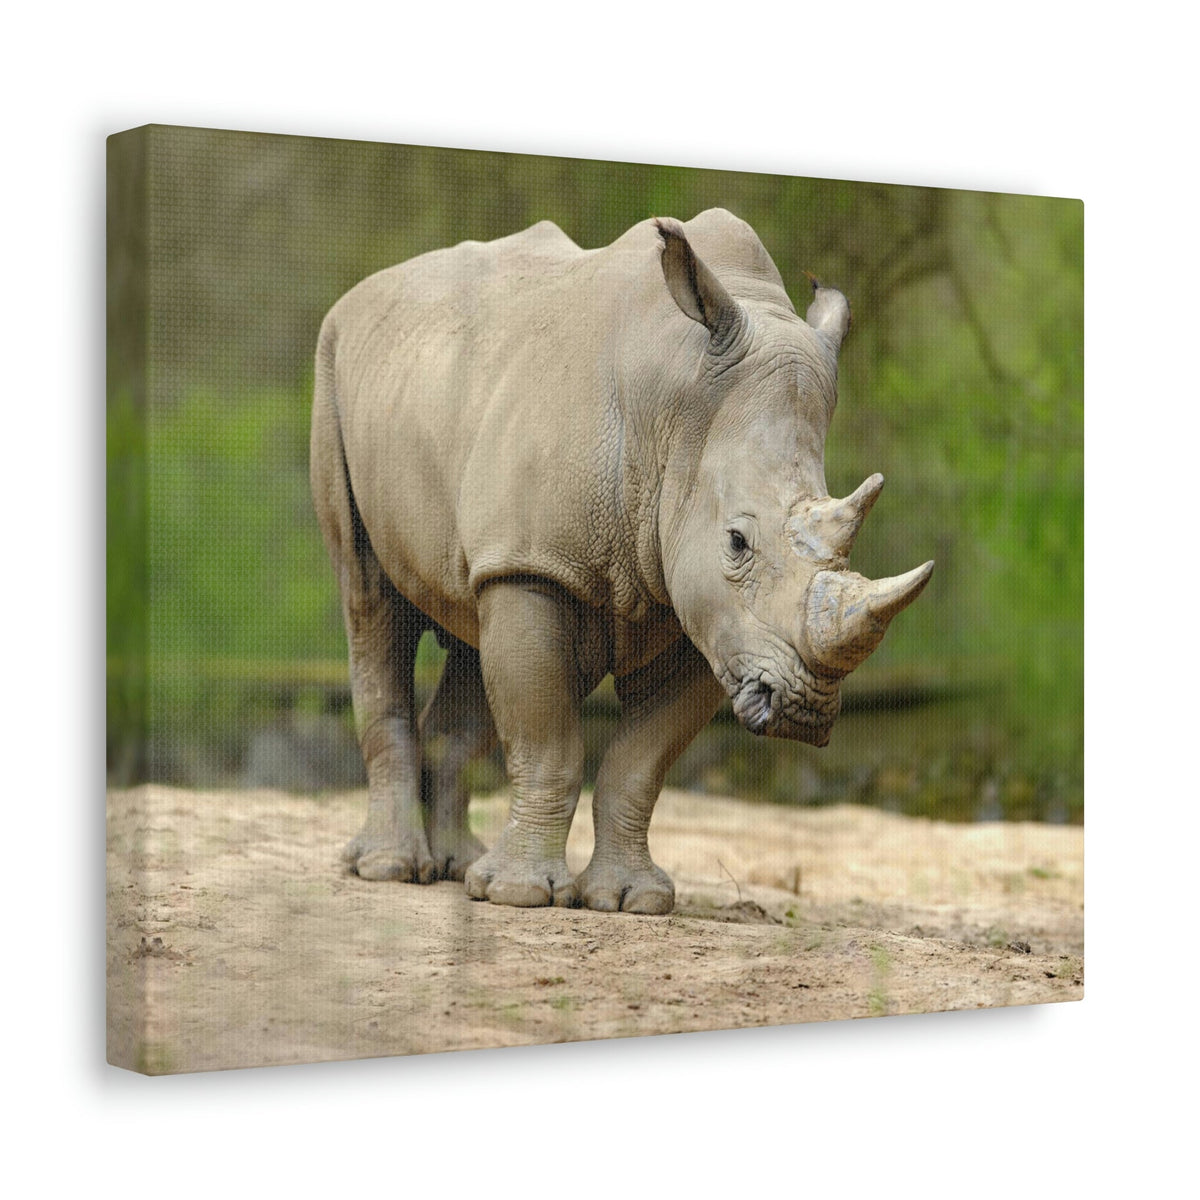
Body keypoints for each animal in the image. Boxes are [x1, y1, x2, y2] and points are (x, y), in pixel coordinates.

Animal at [311, 208, 933, 913]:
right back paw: (390, 868)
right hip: (336, 367)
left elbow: (640, 763)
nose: (802, 710)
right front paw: (519, 896)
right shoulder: (538, 564)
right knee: (370, 600)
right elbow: (548, 741)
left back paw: (456, 866)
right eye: (737, 543)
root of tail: (367, 291)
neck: (677, 412)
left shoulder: (711, 618)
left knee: (470, 622)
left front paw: (631, 900)